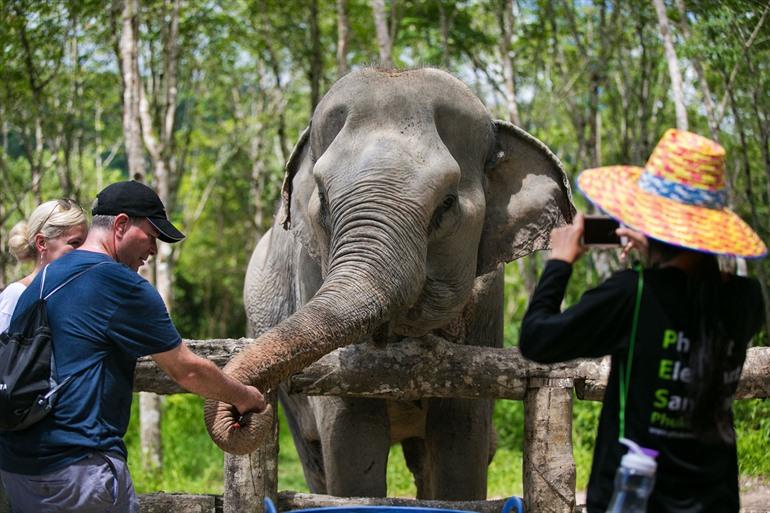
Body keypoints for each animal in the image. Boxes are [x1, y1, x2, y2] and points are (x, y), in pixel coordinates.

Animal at [204, 67, 575, 500]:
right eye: (323, 199)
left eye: (446, 203)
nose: (241, 412)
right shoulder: (310, 275)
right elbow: (349, 431)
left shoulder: (487, 303)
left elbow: (462, 434)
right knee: (314, 456)